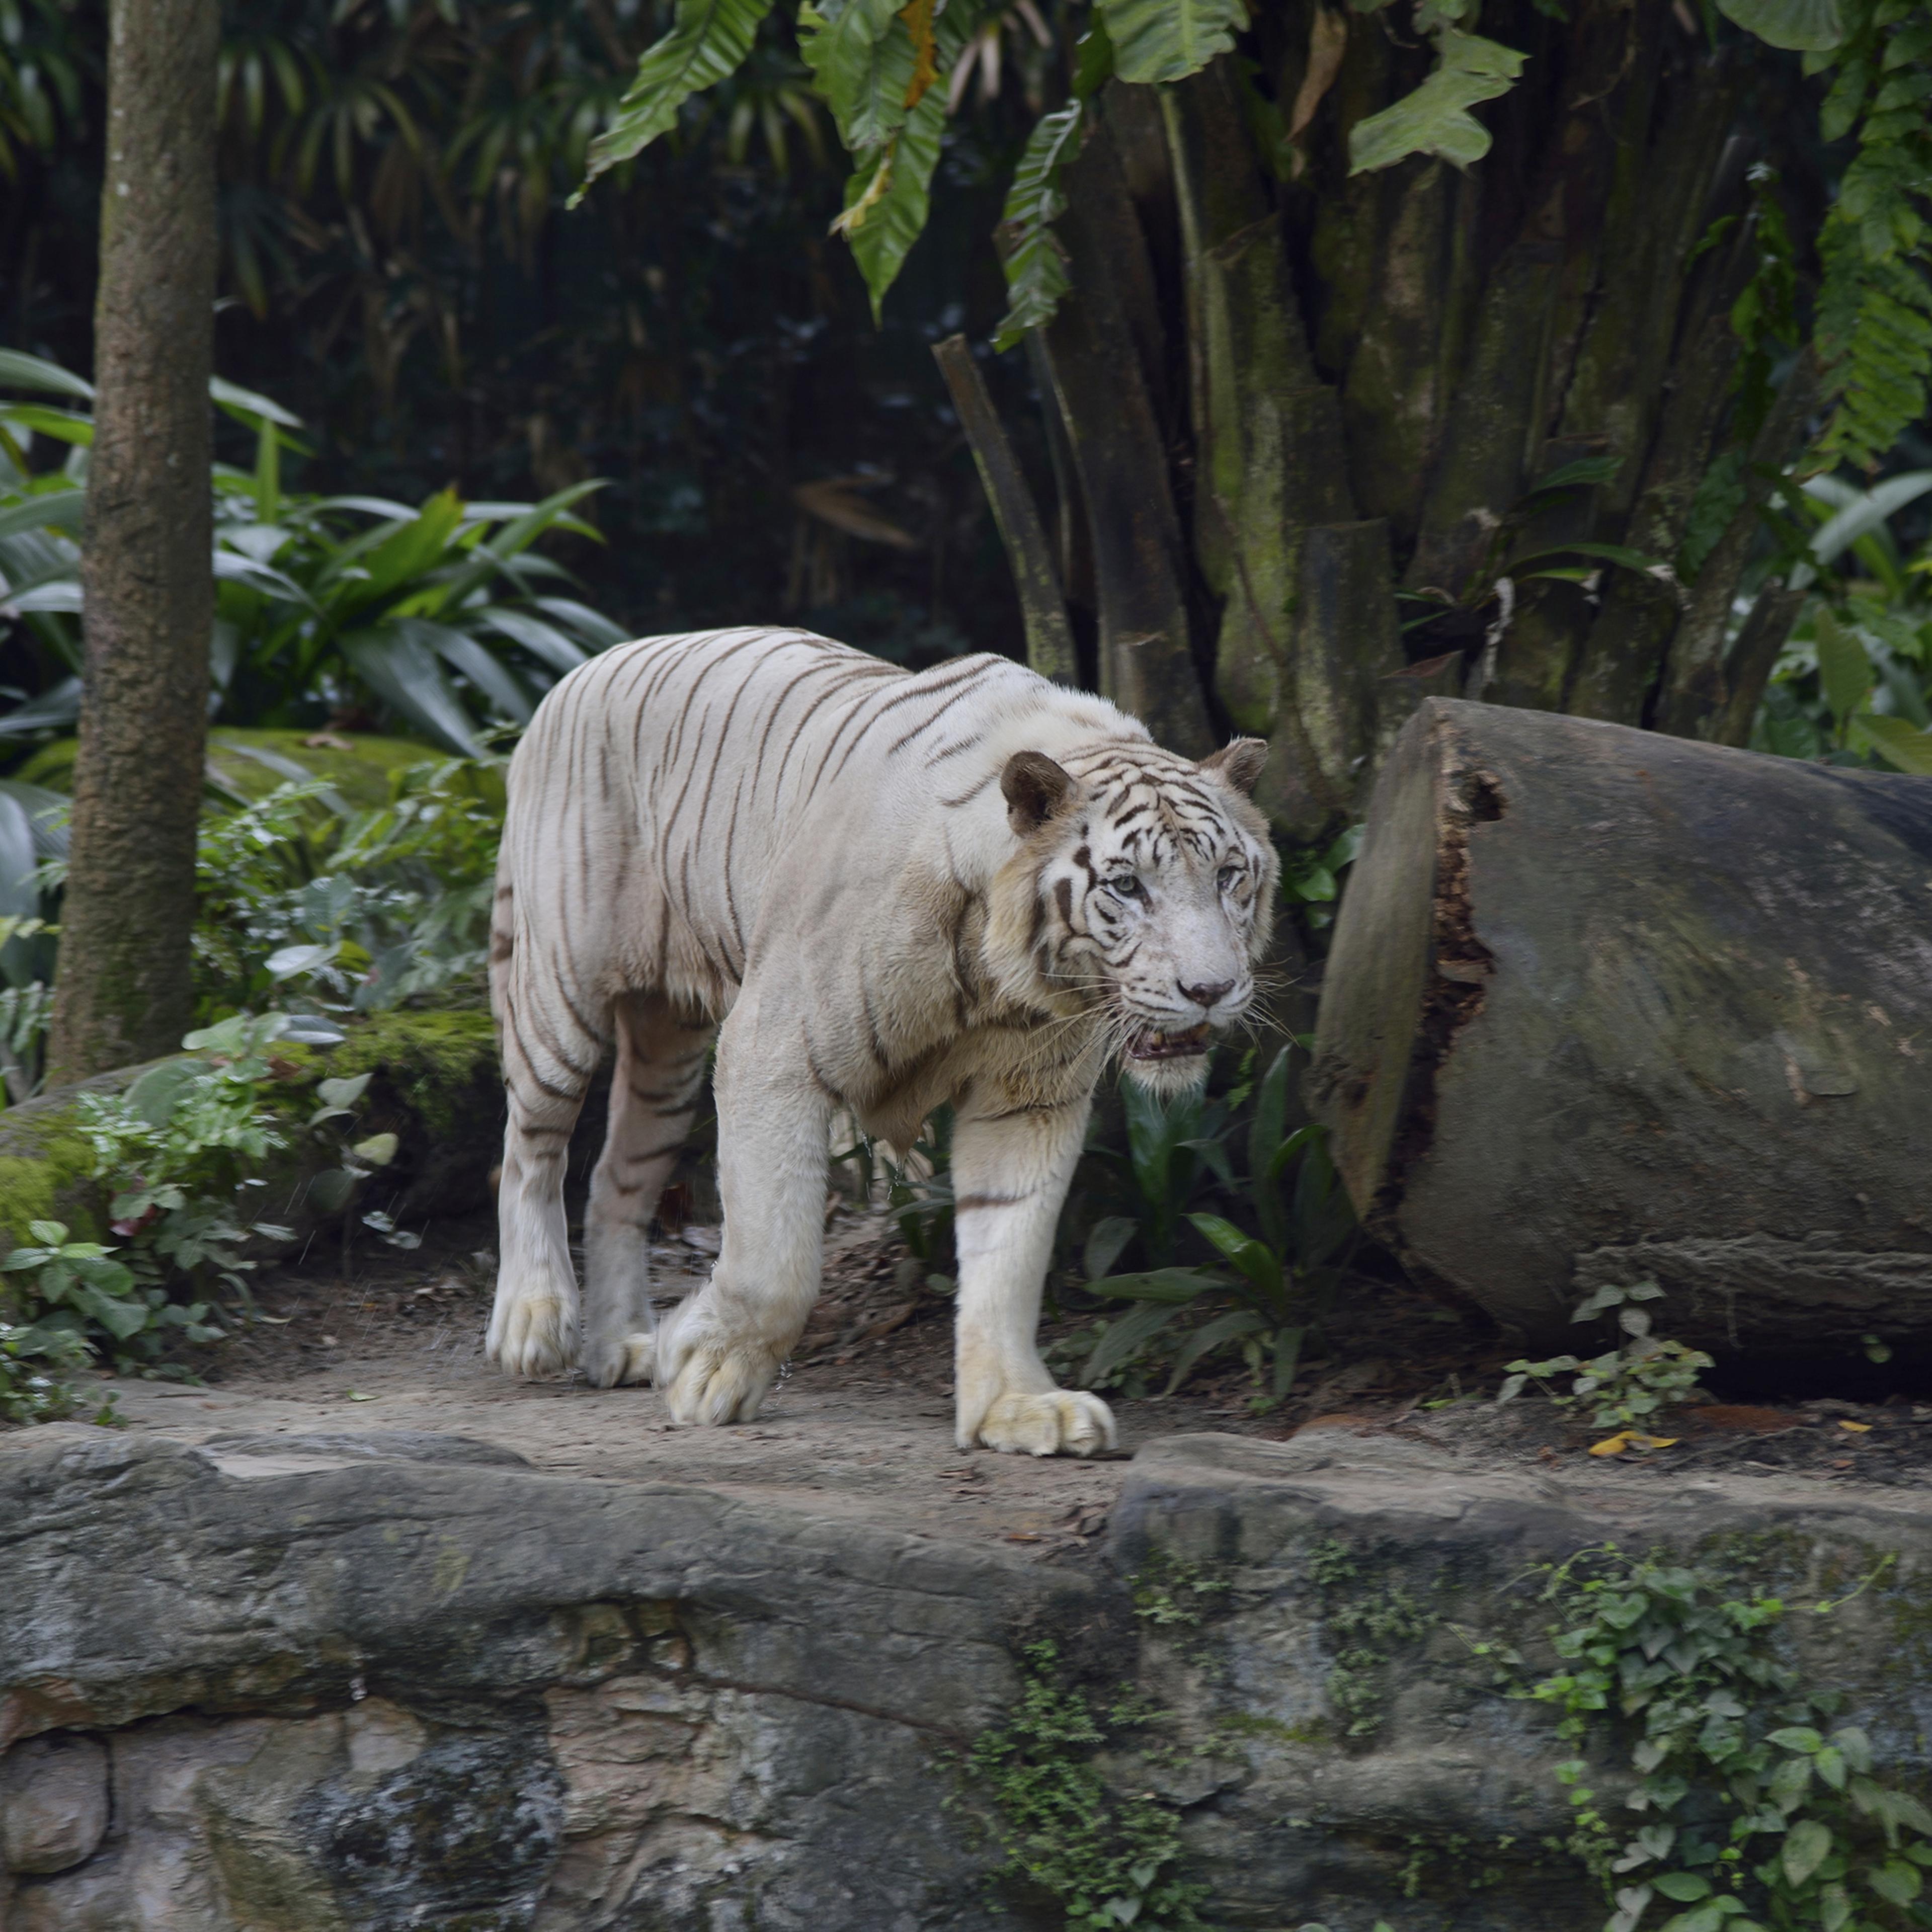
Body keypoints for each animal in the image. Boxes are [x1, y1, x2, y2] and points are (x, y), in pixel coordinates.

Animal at [485, 627, 1277, 1456]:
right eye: (1127, 887)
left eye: (1229, 876)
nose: (1211, 988)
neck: (998, 976)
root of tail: (576, 675)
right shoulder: (773, 1052)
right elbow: (776, 1256)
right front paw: (705, 1369)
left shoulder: (1028, 1099)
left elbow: (1010, 1253)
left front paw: (1019, 1406)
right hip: (560, 995)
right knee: (530, 1148)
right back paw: (534, 1322)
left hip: (666, 1047)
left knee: (617, 1176)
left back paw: (623, 1346)